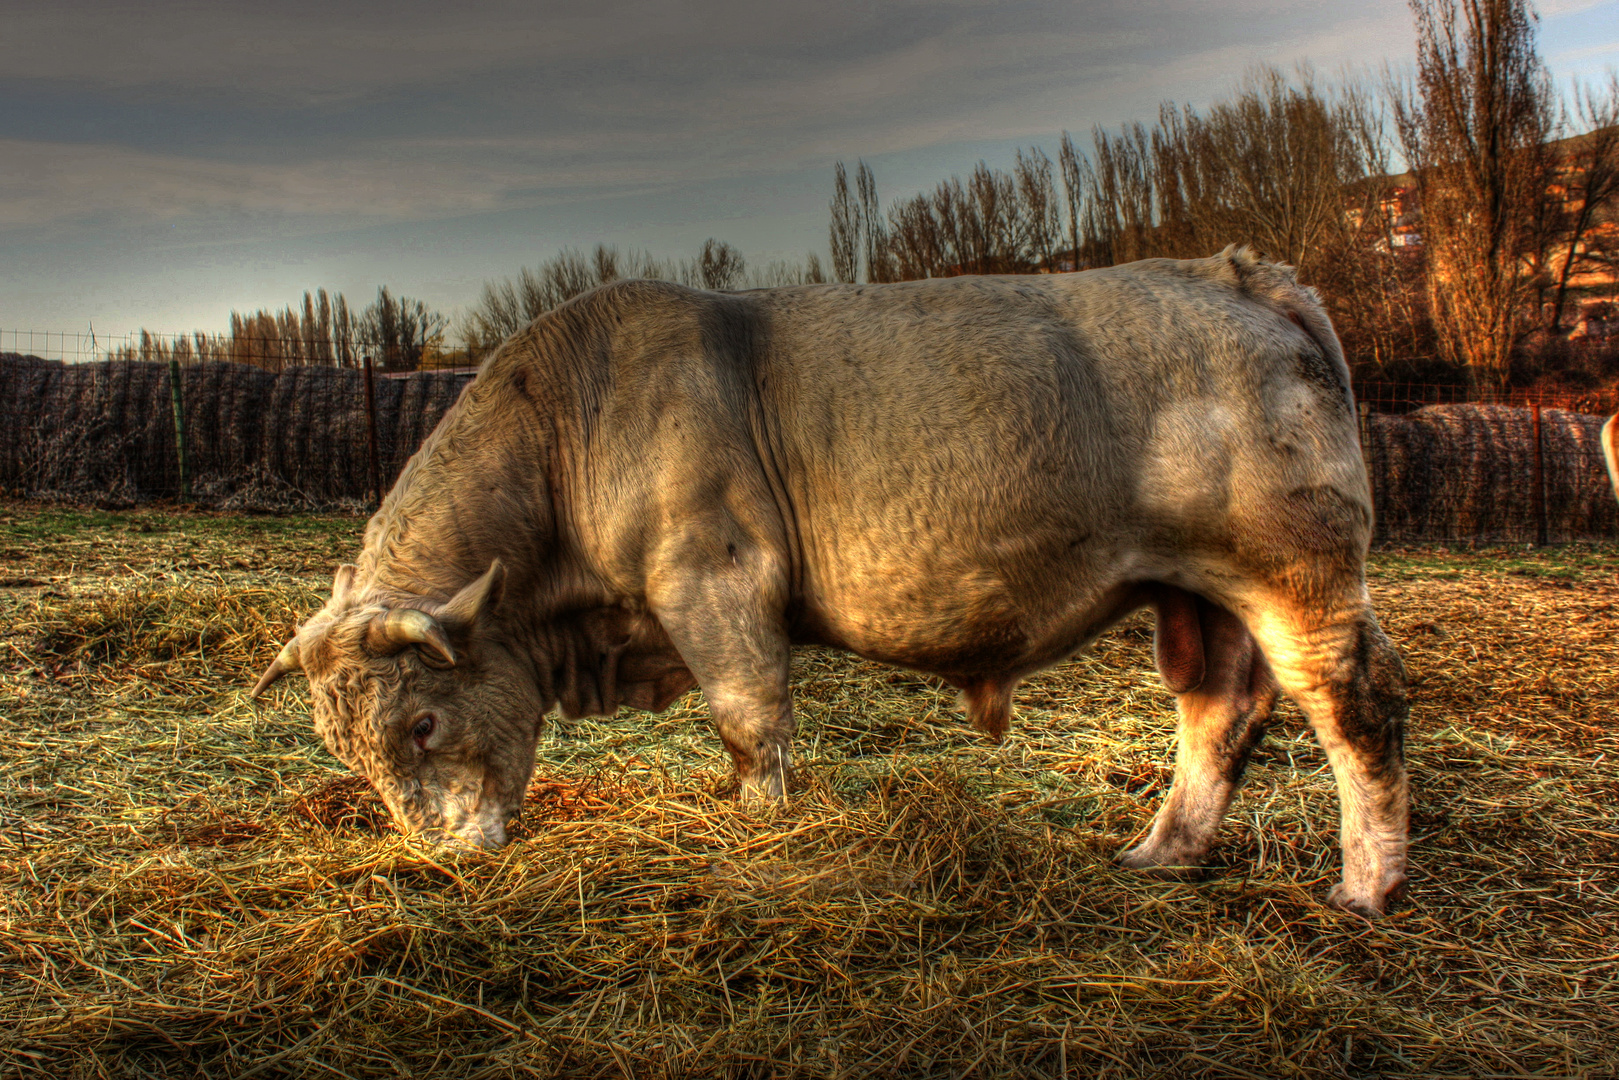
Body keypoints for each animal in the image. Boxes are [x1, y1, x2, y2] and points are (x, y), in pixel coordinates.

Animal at [252, 249, 1405, 919]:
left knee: (1355, 704)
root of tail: (1234, 270)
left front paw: (763, 831)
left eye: (421, 726)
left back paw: (1366, 885)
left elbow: (748, 720)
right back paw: (1162, 852)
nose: (445, 862)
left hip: (1296, 573)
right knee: (1220, 709)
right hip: (1199, 594)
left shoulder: (712, 578)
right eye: (343, 751)